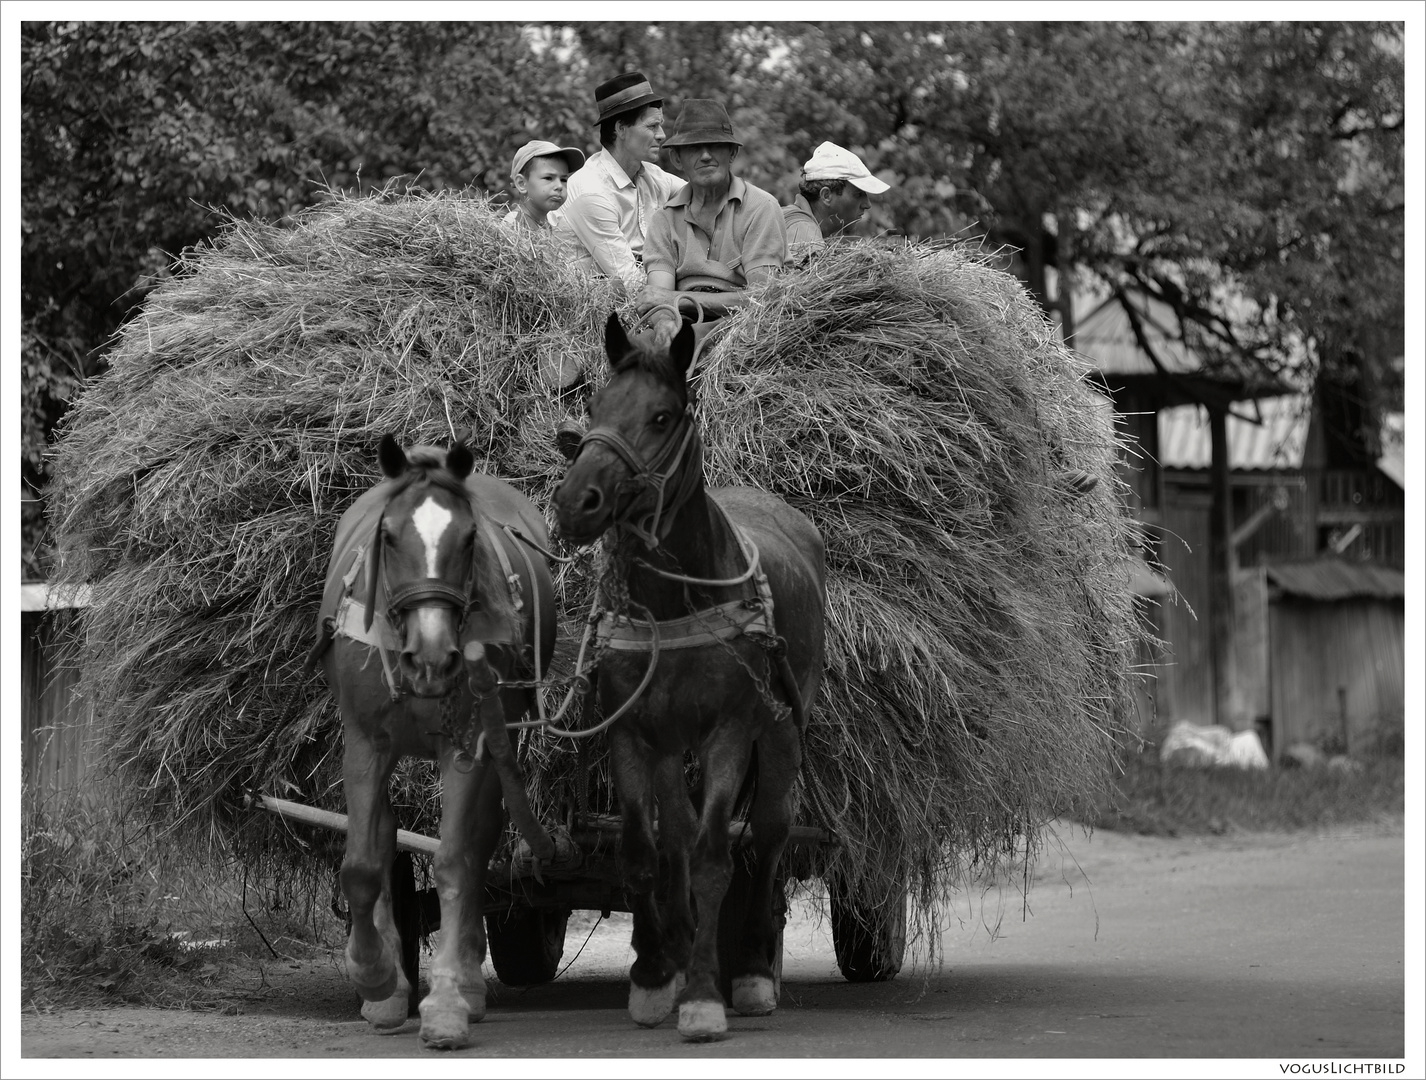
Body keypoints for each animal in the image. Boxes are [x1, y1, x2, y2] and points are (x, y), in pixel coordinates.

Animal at [317, 433, 556, 1050]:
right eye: (388, 535)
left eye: (468, 539)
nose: (431, 656)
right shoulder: (365, 745)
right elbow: (362, 866)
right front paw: (376, 979)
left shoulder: (468, 746)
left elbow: (454, 862)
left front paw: (447, 1002)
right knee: (382, 840)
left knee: (479, 846)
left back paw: (468, 981)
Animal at [553, 315, 832, 1038]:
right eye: (594, 407)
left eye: (661, 415)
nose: (575, 503)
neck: (675, 603)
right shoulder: (632, 732)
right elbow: (642, 850)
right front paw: (655, 972)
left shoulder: (728, 734)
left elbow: (712, 858)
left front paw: (705, 994)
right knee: (675, 835)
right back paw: (678, 948)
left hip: (782, 731)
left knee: (768, 833)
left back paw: (754, 967)